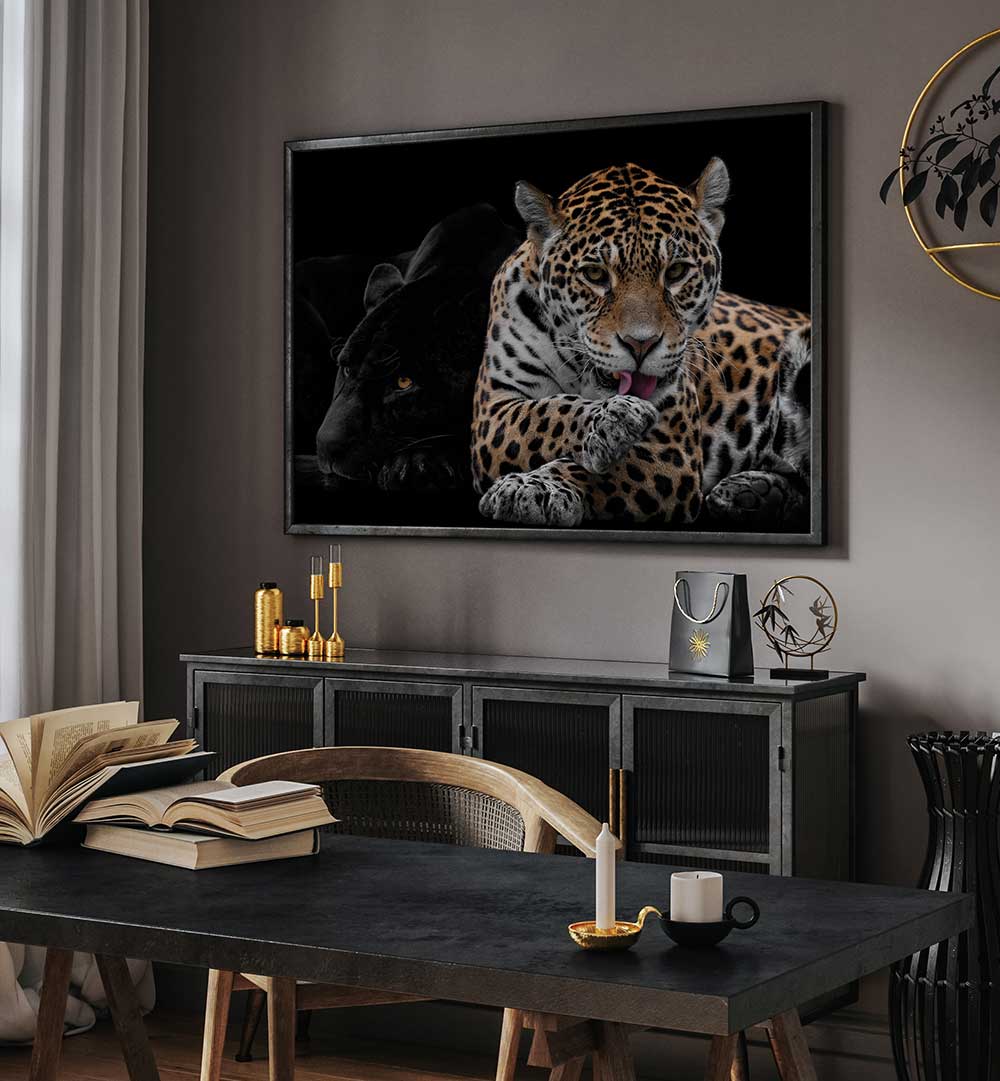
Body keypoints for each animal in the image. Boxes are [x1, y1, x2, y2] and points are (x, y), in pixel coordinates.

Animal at [470, 159, 811, 531]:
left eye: (676, 271)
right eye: (594, 274)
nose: (640, 344)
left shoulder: (672, 450)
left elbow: (596, 470)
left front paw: (536, 485)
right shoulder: (492, 410)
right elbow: (543, 414)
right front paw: (611, 421)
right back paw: (752, 494)